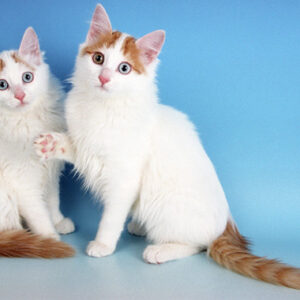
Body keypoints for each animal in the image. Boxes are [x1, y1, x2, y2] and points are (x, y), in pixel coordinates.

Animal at [0, 28, 74, 258]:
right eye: (2, 85)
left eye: (27, 77)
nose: (20, 95)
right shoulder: (22, 181)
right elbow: (38, 213)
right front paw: (48, 236)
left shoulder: (50, 171)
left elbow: (52, 200)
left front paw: (58, 221)